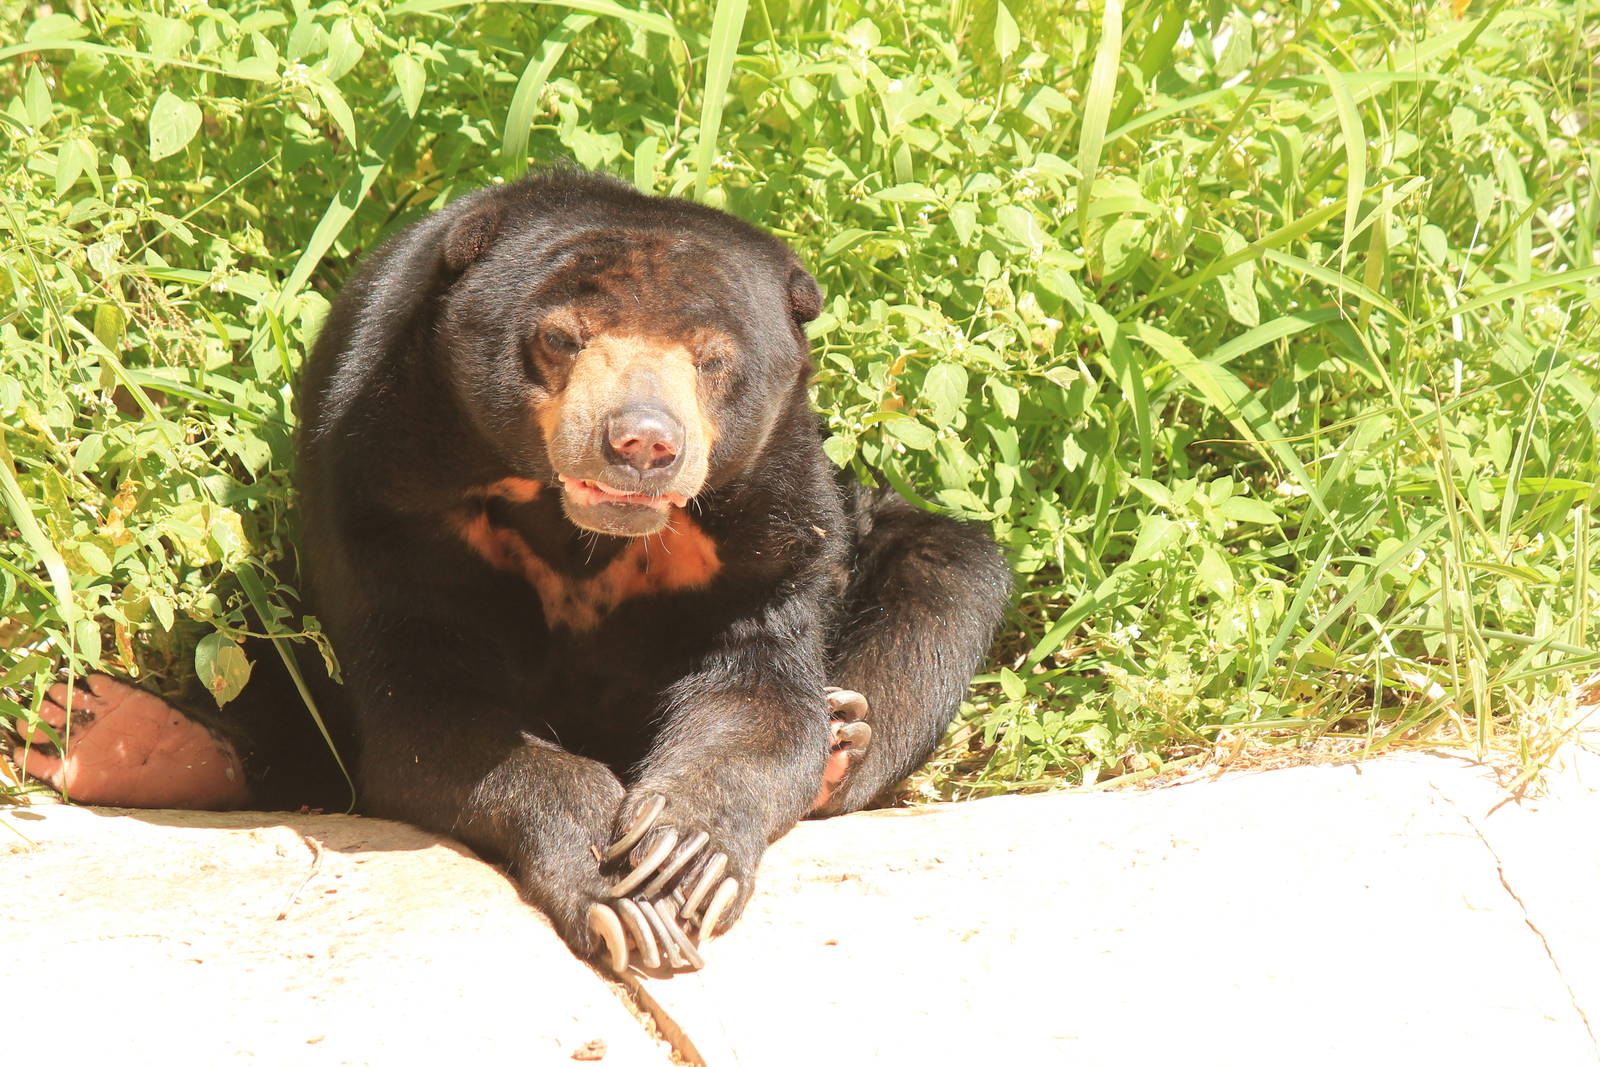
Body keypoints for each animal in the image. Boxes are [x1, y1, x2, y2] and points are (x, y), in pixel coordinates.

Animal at [12, 170, 1012, 972]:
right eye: (562, 339)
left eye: (713, 359)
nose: (641, 442)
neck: (577, 525)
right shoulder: (384, 489)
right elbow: (433, 712)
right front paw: (621, 900)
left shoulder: (771, 520)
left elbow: (758, 691)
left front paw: (680, 854)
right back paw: (105, 730)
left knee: (946, 584)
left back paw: (845, 737)